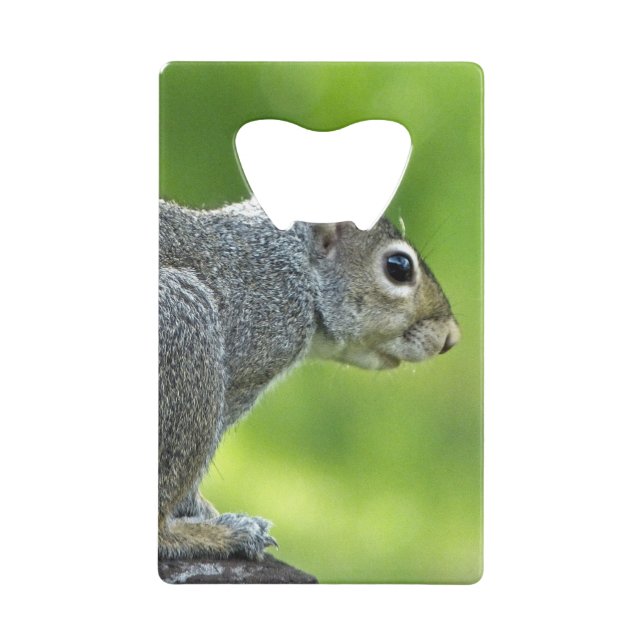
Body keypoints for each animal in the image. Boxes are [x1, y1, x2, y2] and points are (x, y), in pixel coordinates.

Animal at [159, 198, 460, 561]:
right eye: (399, 267)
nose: (451, 337)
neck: (298, 266)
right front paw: (204, 512)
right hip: (186, 327)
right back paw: (219, 535)